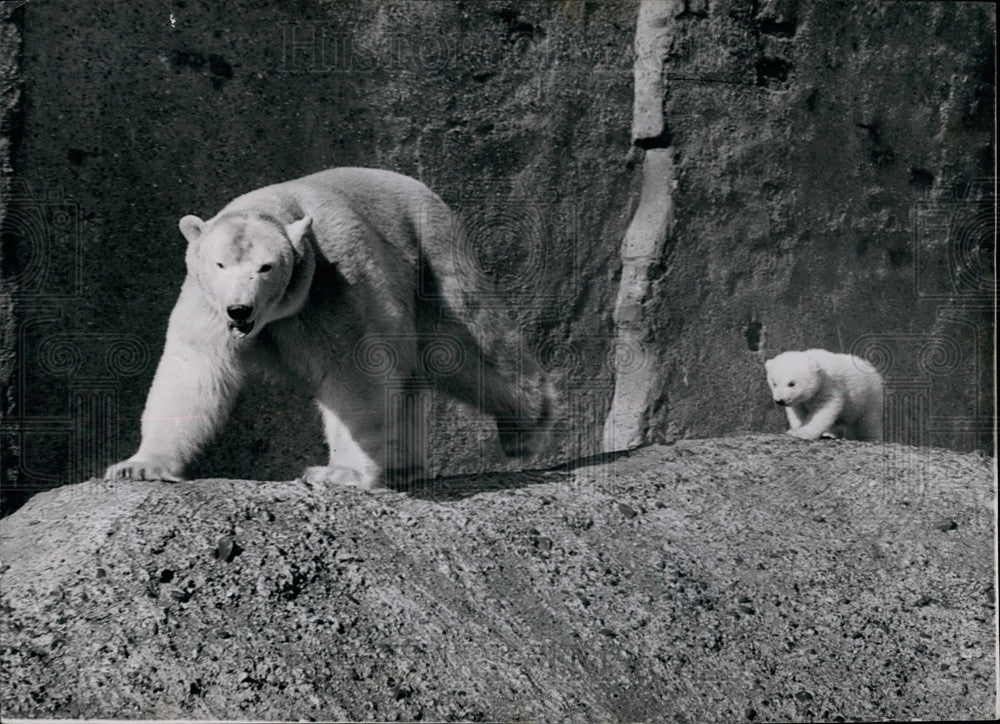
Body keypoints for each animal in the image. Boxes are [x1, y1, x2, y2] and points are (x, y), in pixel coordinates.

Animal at [104, 168, 553, 488]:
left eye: (266, 267)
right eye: (219, 264)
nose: (240, 310)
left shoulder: (334, 284)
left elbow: (355, 372)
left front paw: (340, 473)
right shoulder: (206, 302)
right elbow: (193, 369)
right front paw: (138, 466)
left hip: (431, 260)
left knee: (463, 345)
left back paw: (526, 428)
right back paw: (403, 466)